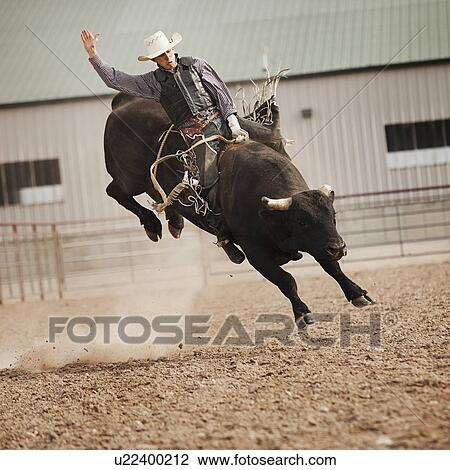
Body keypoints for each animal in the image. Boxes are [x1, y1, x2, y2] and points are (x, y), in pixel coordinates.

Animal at [104, 92, 372, 326]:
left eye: (333, 217)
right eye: (302, 221)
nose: (338, 247)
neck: (269, 214)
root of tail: (124, 102)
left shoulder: (319, 242)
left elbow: (331, 267)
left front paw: (356, 292)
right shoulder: (256, 253)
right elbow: (286, 280)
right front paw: (302, 313)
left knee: (162, 196)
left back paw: (175, 222)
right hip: (130, 178)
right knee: (115, 191)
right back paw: (152, 224)